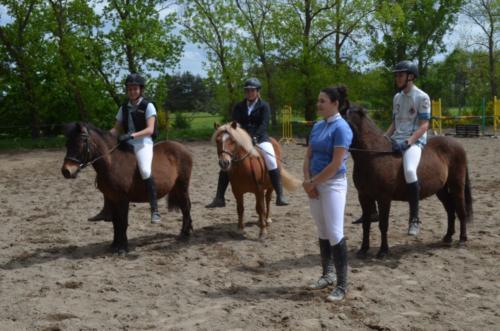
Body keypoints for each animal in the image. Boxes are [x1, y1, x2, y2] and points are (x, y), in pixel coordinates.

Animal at [61, 122, 193, 254]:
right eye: (67, 144)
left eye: (80, 144)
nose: (66, 171)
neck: (113, 163)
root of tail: (182, 146)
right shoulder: (112, 198)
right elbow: (116, 222)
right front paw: (114, 245)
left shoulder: (123, 199)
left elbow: (123, 222)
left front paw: (123, 247)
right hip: (177, 187)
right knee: (185, 206)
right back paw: (187, 230)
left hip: (182, 185)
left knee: (186, 206)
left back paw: (185, 233)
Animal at [344, 107, 472, 260]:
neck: (373, 155)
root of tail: (457, 144)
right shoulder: (363, 196)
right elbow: (366, 224)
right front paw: (363, 249)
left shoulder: (384, 198)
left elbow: (383, 224)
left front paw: (383, 251)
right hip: (440, 190)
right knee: (450, 210)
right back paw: (447, 237)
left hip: (456, 185)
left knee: (460, 209)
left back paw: (462, 239)